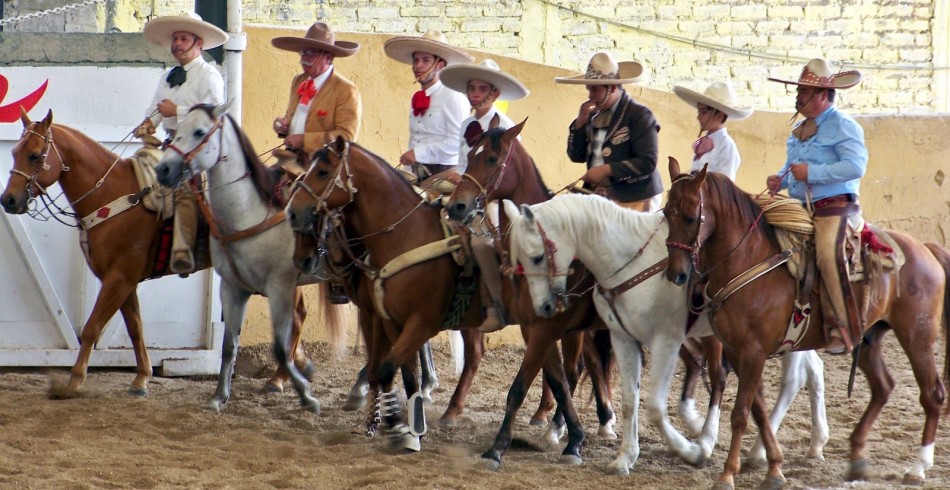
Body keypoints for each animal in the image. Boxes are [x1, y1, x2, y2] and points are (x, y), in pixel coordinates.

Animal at [154, 103, 348, 414]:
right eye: (179, 128)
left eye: (199, 131)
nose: (164, 169)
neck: (249, 213)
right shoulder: (233, 288)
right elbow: (229, 344)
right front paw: (219, 396)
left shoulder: (279, 288)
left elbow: (279, 347)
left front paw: (307, 396)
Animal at [286, 137, 592, 464]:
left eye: (322, 171)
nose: (292, 213)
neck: (406, 234)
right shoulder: (390, 320)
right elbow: (401, 374)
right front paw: (406, 427)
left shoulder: (419, 322)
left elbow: (384, 368)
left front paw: (394, 425)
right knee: (548, 372)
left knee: (570, 369)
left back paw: (555, 429)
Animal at [506, 194, 832, 474]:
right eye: (516, 257)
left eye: (537, 257)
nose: (544, 307)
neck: (630, 261)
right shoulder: (621, 337)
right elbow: (628, 399)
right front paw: (624, 457)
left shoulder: (666, 341)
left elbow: (651, 405)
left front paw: (690, 451)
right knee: (809, 370)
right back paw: (809, 444)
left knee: (772, 379)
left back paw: (740, 447)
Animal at [660, 159, 950, 488]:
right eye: (666, 213)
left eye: (690, 216)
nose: (677, 274)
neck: (747, 259)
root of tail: (925, 248)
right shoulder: (736, 350)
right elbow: (759, 410)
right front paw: (774, 468)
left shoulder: (753, 352)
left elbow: (741, 413)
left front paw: (727, 474)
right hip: (867, 338)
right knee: (883, 386)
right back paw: (857, 460)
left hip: (917, 335)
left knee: (932, 394)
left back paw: (918, 467)